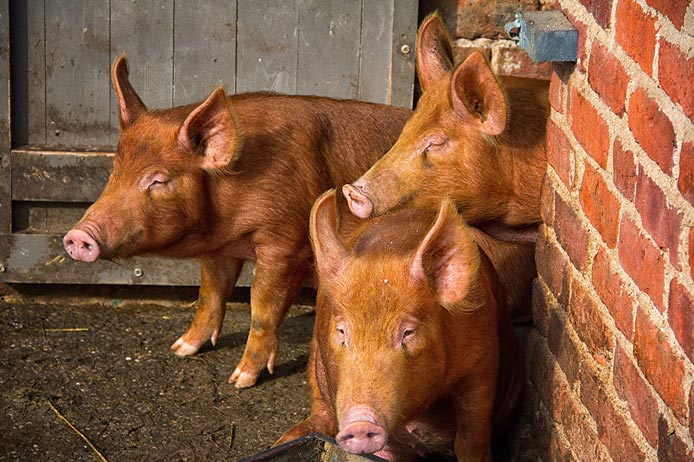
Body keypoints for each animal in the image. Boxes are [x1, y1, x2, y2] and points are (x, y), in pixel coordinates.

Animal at [62, 54, 412, 388]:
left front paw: (240, 380)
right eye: (115, 171)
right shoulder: (220, 249)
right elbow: (210, 294)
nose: (78, 235)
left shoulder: (284, 242)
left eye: (158, 180)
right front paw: (181, 349)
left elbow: (262, 307)